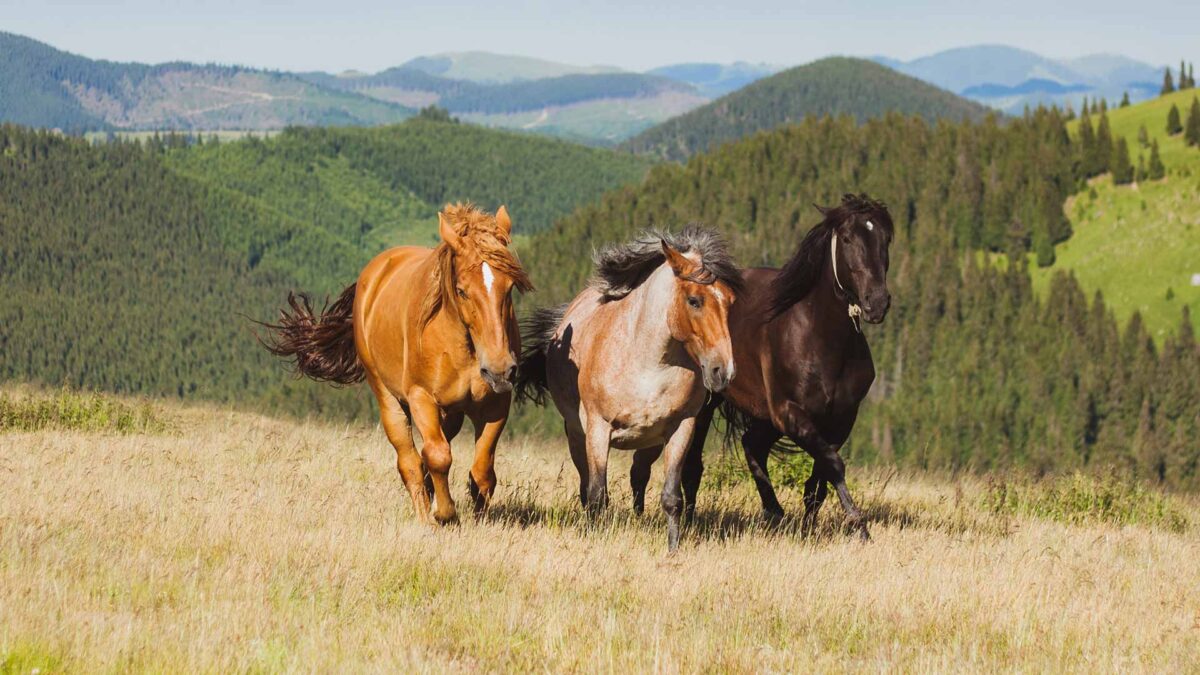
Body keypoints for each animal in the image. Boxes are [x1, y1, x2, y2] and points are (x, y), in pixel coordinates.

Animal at [262, 201, 530, 523]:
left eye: (510, 287)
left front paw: (479, 519)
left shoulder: (495, 405)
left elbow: (482, 472)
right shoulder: (421, 398)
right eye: (462, 290)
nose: (500, 369)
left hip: (451, 412)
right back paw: (425, 513)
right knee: (410, 460)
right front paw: (445, 514)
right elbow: (437, 456)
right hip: (388, 396)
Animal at [516, 223, 739, 550]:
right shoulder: (598, 429)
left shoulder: (681, 428)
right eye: (694, 300)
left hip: (649, 443)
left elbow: (672, 497)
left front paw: (673, 548)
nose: (723, 371)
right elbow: (597, 494)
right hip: (577, 435)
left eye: (730, 300)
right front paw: (594, 539)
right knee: (587, 485)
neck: (648, 365)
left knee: (638, 475)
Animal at [633, 192, 897, 538]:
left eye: (886, 239)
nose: (876, 303)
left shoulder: (840, 419)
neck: (821, 337)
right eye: (848, 239)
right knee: (694, 465)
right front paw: (858, 524)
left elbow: (820, 478)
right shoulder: (790, 413)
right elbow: (833, 465)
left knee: (750, 445)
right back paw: (688, 520)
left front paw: (810, 526)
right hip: (708, 405)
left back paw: (773, 512)